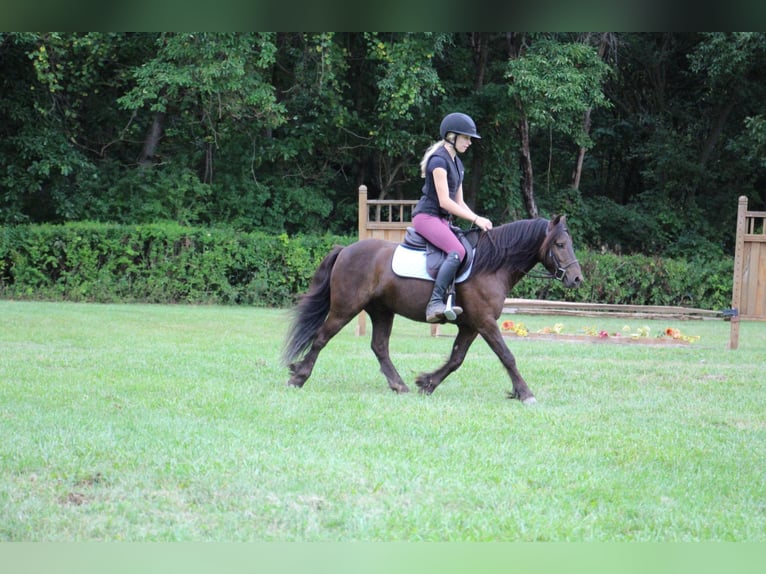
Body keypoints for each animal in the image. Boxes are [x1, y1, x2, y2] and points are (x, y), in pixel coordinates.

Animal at [282, 216, 584, 404]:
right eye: (560, 245)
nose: (577, 279)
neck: (492, 265)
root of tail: (346, 250)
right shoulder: (485, 322)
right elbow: (507, 356)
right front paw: (525, 393)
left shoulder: (470, 326)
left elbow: (456, 359)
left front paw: (426, 382)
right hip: (345, 308)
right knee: (321, 338)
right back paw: (298, 377)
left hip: (382, 311)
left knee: (379, 347)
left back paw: (399, 385)